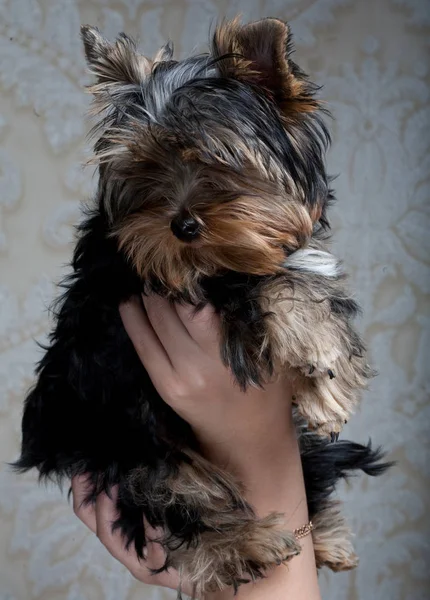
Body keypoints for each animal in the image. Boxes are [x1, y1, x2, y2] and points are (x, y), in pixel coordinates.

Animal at [15, 17, 388, 596]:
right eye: (146, 168)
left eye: (220, 161)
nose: (182, 226)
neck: (219, 256)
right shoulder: (160, 276)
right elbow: (260, 285)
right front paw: (322, 364)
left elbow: (296, 282)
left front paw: (324, 379)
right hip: (126, 439)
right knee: (175, 494)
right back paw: (245, 545)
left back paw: (323, 535)